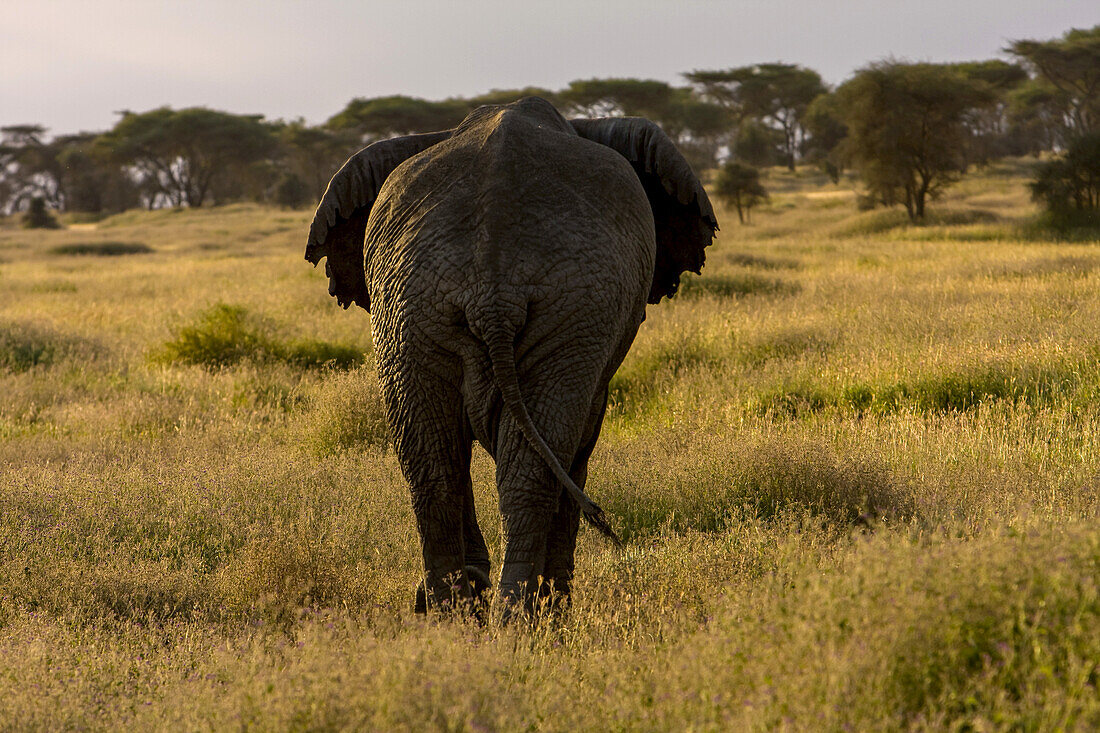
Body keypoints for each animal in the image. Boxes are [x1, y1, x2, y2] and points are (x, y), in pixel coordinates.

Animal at [305, 94, 717, 611]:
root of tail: (492, 287)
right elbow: (581, 442)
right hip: (563, 308)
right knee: (532, 467)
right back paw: (530, 612)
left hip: (415, 304)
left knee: (434, 465)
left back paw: (453, 610)